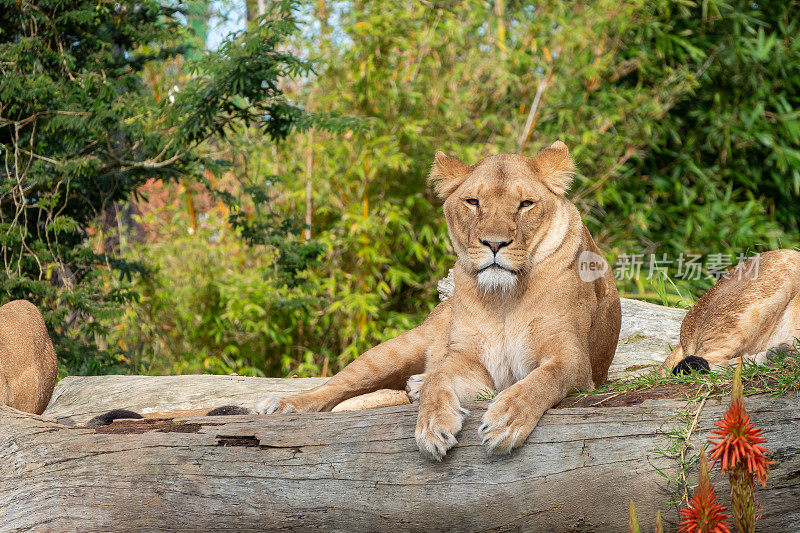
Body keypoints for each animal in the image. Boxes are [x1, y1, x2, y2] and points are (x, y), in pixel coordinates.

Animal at [256, 142, 620, 462]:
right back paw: (282, 405)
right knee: (335, 388)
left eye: (525, 204)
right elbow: (439, 380)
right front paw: (431, 425)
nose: (494, 244)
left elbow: (541, 381)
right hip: (394, 351)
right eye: (473, 202)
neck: (504, 298)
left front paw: (505, 421)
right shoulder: (466, 358)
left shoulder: (573, 359)